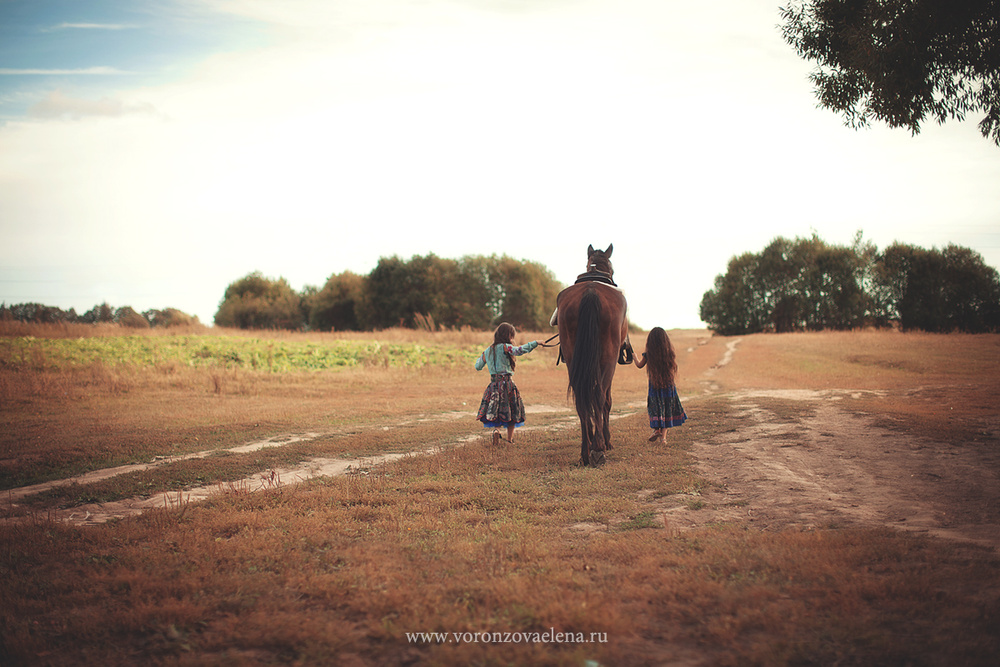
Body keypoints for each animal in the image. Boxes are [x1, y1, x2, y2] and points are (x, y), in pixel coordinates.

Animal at [552, 245, 628, 470]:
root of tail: (591, 292)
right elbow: (606, 402)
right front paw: (606, 441)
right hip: (608, 360)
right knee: (600, 397)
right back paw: (599, 449)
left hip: (573, 359)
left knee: (582, 400)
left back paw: (586, 452)